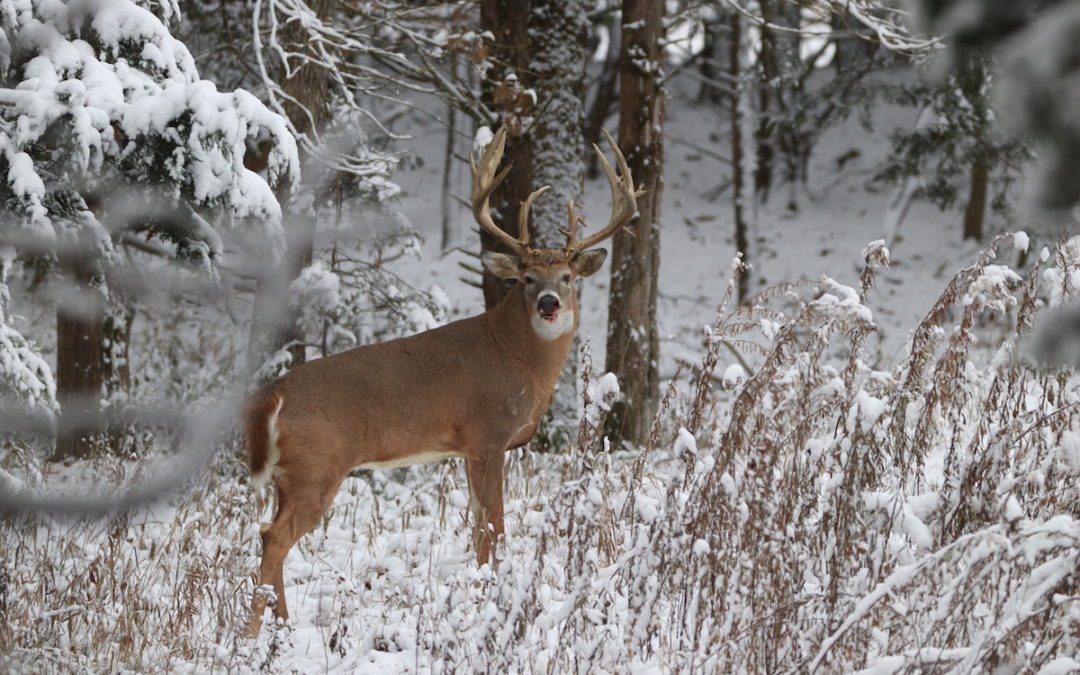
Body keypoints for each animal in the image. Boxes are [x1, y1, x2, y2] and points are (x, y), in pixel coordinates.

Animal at [245, 127, 639, 635]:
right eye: (527, 278)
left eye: (568, 276)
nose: (550, 303)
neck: (516, 357)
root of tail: (276, 392)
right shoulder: (488, 435)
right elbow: (493, 525)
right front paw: (493, 595)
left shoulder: (470, 448)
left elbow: (476, 524)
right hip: (318, 465)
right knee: (274, 537)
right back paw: (254, 633)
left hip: (287, 475)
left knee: (266, 531)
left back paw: (284, 625)